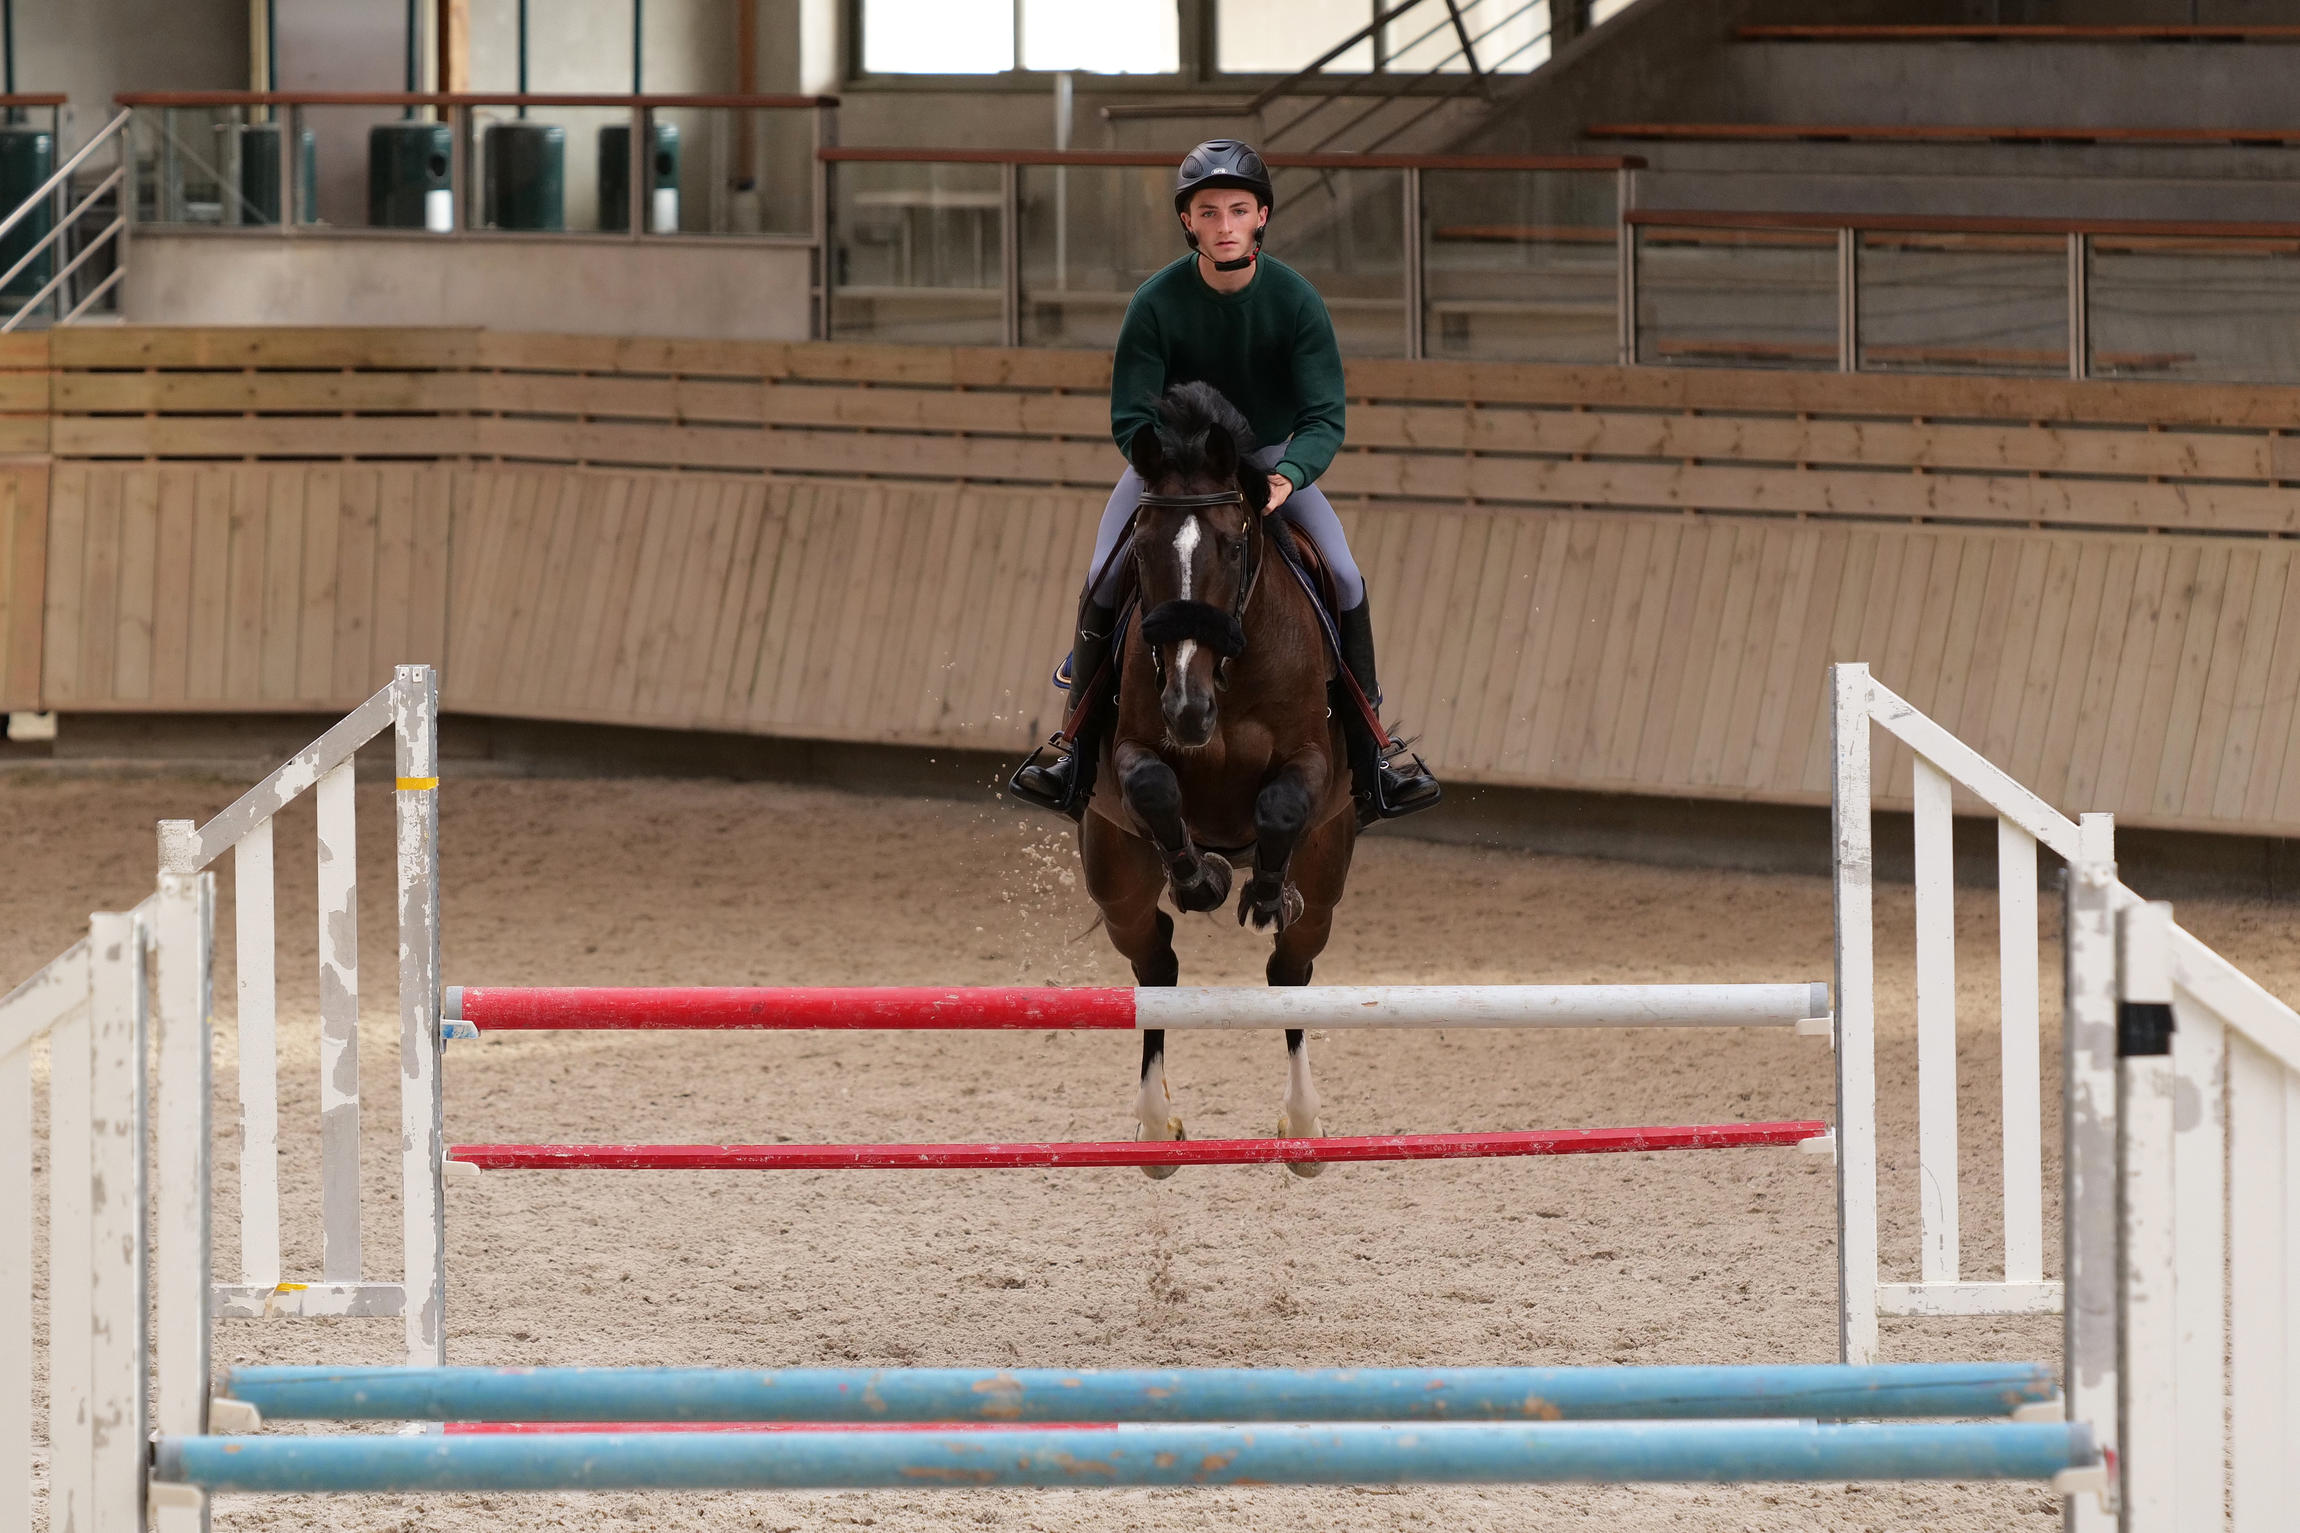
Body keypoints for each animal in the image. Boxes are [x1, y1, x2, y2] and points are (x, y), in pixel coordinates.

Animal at [1081, 381, 1352, 1176]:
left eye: (1235, 545)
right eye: (1141, 549)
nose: (1187, 706)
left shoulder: (1312, 763)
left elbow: (1282, 803)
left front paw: (1261, 891)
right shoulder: (1131, 756)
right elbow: (1155, 788)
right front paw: (1203, 878)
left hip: (1328, 867)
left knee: (1290, 971)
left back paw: (1303, 1129)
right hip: (1115, 877)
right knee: (1155, 963)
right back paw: (1155, 1130)